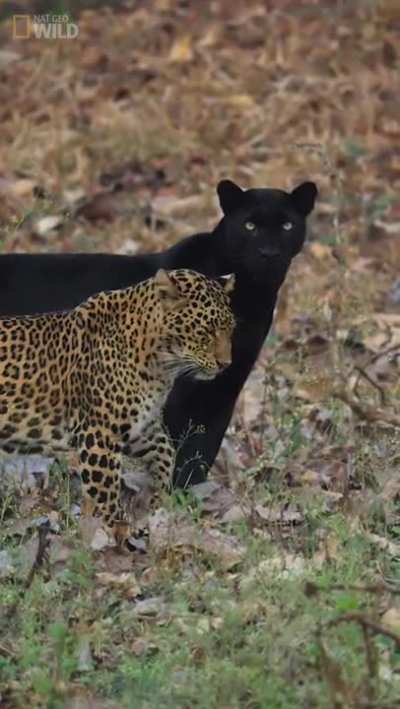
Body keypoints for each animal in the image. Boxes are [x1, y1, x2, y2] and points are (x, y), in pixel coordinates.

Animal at [0, 269, 235, 536]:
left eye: (231, 330)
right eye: (206, 331)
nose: (226, 364)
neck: (161, 365)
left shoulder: (138, 427)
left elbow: (165, 451)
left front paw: (156, 499)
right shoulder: (99, 434)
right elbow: (106, 491)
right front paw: (119, 529)